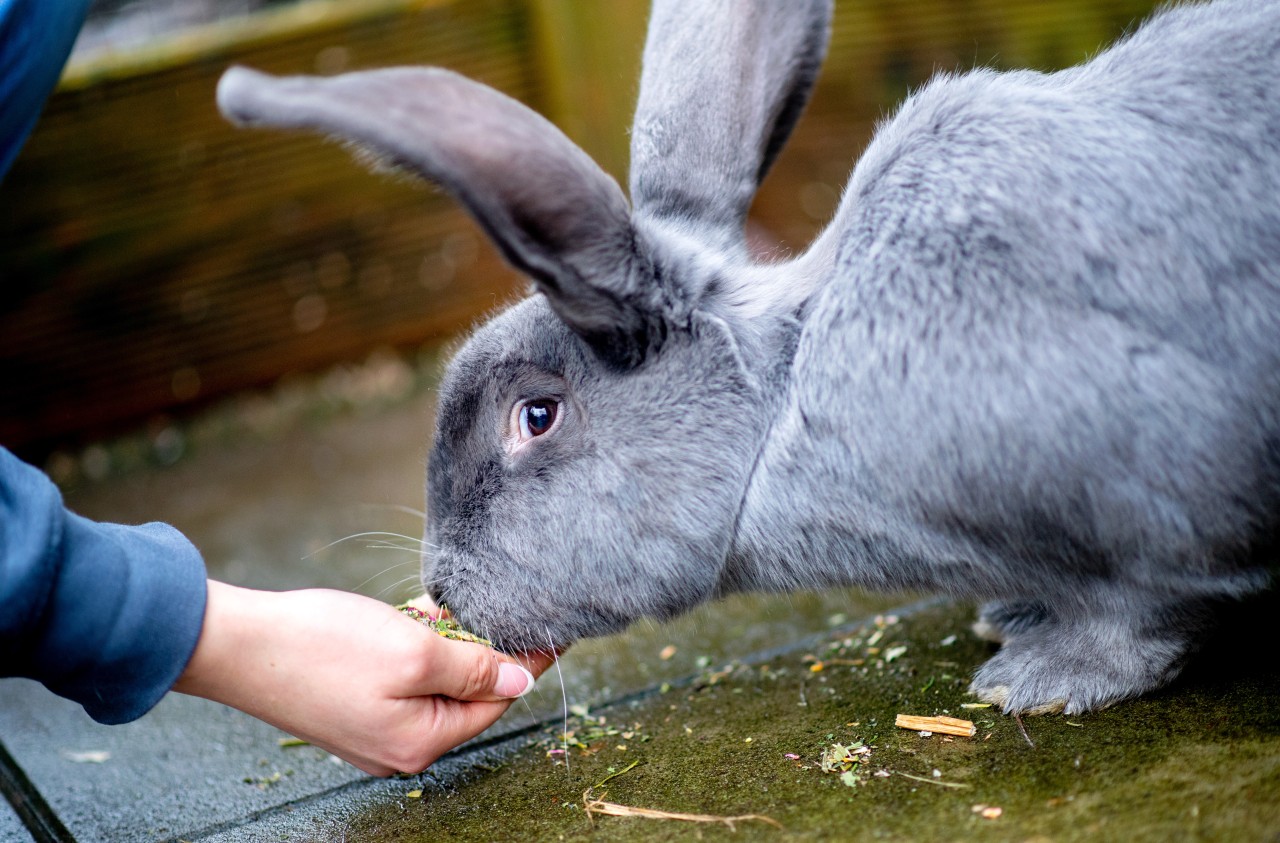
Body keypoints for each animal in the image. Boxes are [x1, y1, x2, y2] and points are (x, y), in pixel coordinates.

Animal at [220, 0, 1280, 716]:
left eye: (536, 416)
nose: (443, 588)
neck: (782, 400)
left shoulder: (1158, 494)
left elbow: (1140, 611)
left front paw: (1038, 682)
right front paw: (1013, 619)